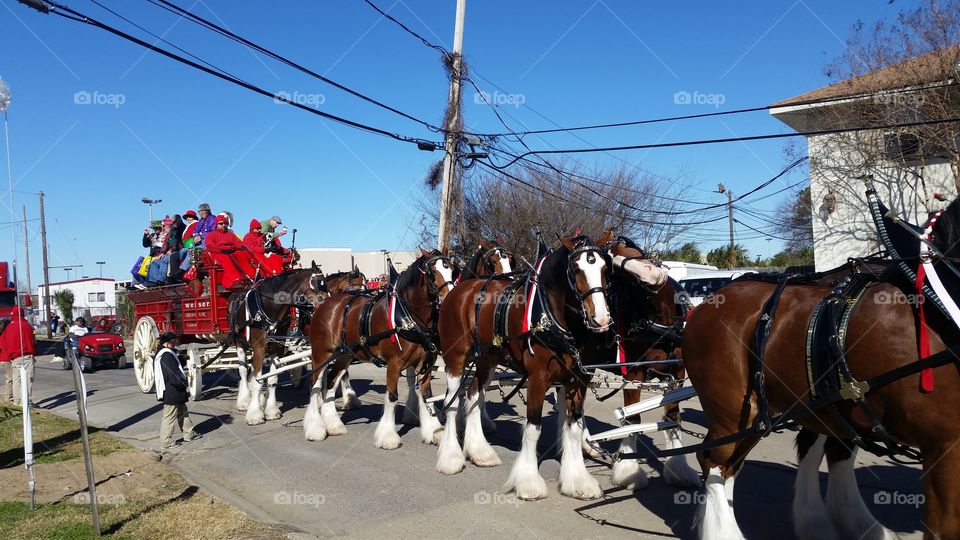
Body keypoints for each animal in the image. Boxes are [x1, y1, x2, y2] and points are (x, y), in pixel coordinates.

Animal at [308, 249, 458, 448]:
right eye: (433, 272)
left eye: (453, 271)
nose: (450, 298)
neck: (408, 316)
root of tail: (324, 304)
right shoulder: (394, 363)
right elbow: (392, 397)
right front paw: (388, 437)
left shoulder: (425, 364)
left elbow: (427, 395)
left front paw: (434, 431)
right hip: (321, 354)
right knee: (315, 385)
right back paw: (315, 429)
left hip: (344, 356)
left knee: (331, 383)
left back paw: (333, 425)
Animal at [436, 234, 624, 500]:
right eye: (576, 269)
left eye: (605, 268)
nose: (601, 319)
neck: (550, 317)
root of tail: (459, 290)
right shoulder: (538, 379)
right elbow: (533, 429)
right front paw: (528, 481)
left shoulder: (578, 380)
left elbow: (574, 429)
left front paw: (577, 481)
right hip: (456, 357)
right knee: (452, 401)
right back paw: (451, 458)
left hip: (487, 359)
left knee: (473, 394)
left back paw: (480, 451)